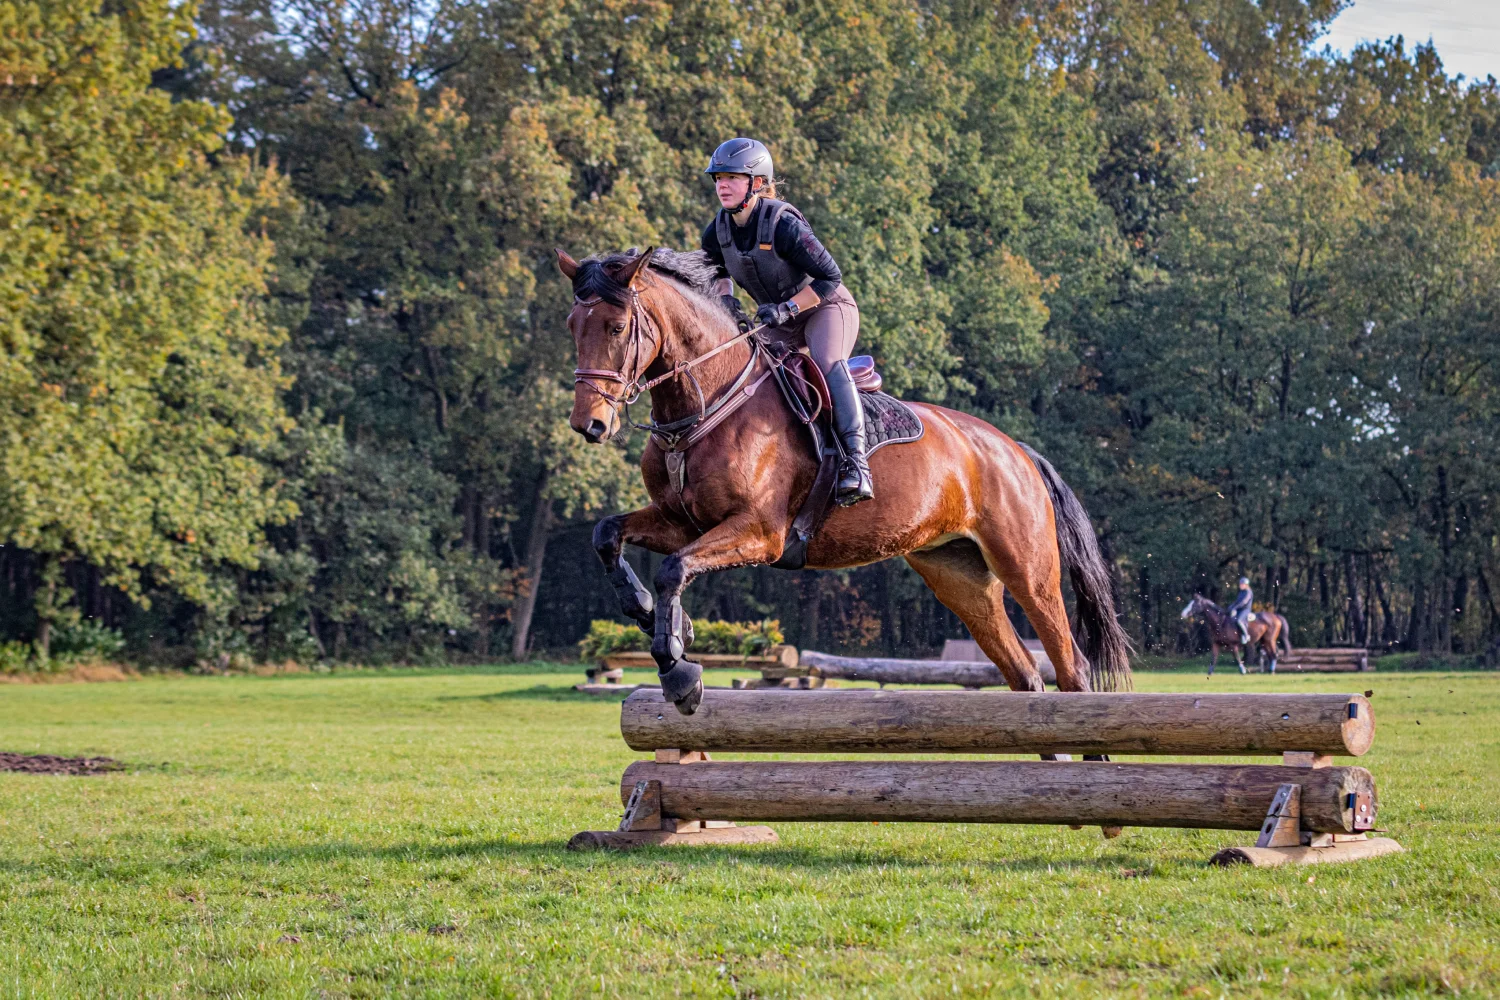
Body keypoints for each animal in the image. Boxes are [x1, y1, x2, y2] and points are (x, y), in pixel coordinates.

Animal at [558, 245, 1128, 716]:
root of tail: (1016, 451)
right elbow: (609, 535)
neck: (708, 403)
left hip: (1027, 568)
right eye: (572, 326)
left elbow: (674, 569)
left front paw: (679, 670)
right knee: (1024, 673)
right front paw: (655, 619)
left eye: (616, 328)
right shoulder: (682, 521)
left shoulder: (761, 532)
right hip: (959, 576)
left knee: (1071, 666)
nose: (590, 425)